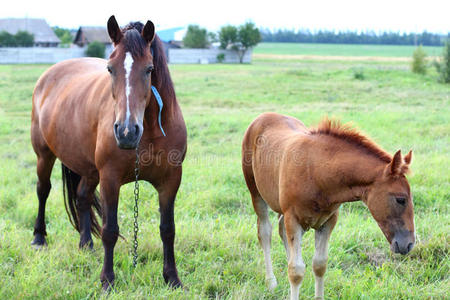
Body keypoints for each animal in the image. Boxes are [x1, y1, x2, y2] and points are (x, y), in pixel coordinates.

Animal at [30, 16, 186, 290]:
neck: (150, 130)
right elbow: (110, 230)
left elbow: (168, 229)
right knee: (43, 190)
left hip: (90, 170)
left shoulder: (170, 181)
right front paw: (107, 281)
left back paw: (86, 245)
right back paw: (39, 239)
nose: (126, 131)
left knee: (82, 197)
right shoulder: (110, 179)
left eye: (149, 69)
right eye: (110, 69)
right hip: (44, 155)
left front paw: (172, 279)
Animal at [243, 113, 414, 300]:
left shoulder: (328, 221)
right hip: (256, 193)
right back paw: (271, 282)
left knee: (281, 230)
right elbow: (296, 271)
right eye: (401, 199)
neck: (316, 172)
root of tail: (263, 116)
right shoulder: (293, 219)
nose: (409, 244)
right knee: (265, 232)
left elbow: (319, 265)